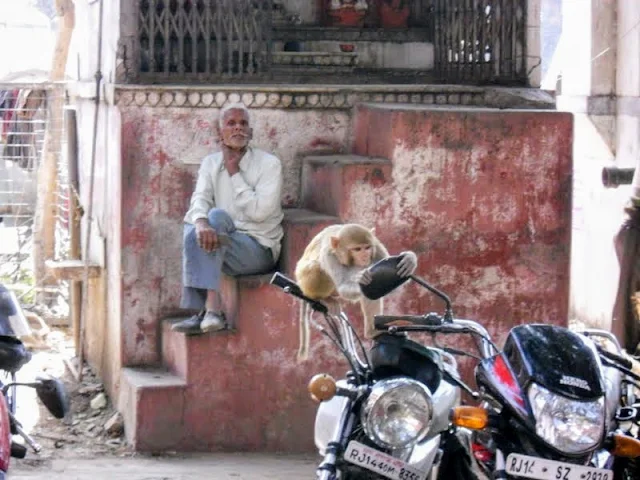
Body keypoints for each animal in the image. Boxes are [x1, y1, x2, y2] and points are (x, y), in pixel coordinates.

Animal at [294, 224, 418, 360]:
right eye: (357, 249)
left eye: (367, 247)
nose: (365, 256)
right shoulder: (329, 255)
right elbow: (344, 285)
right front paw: (361, 279)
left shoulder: (376, 247)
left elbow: (392, 287)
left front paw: (409, 259)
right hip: (304, 281)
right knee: (317, 268)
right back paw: (324, 299)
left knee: (369, 293)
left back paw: (372, 331)